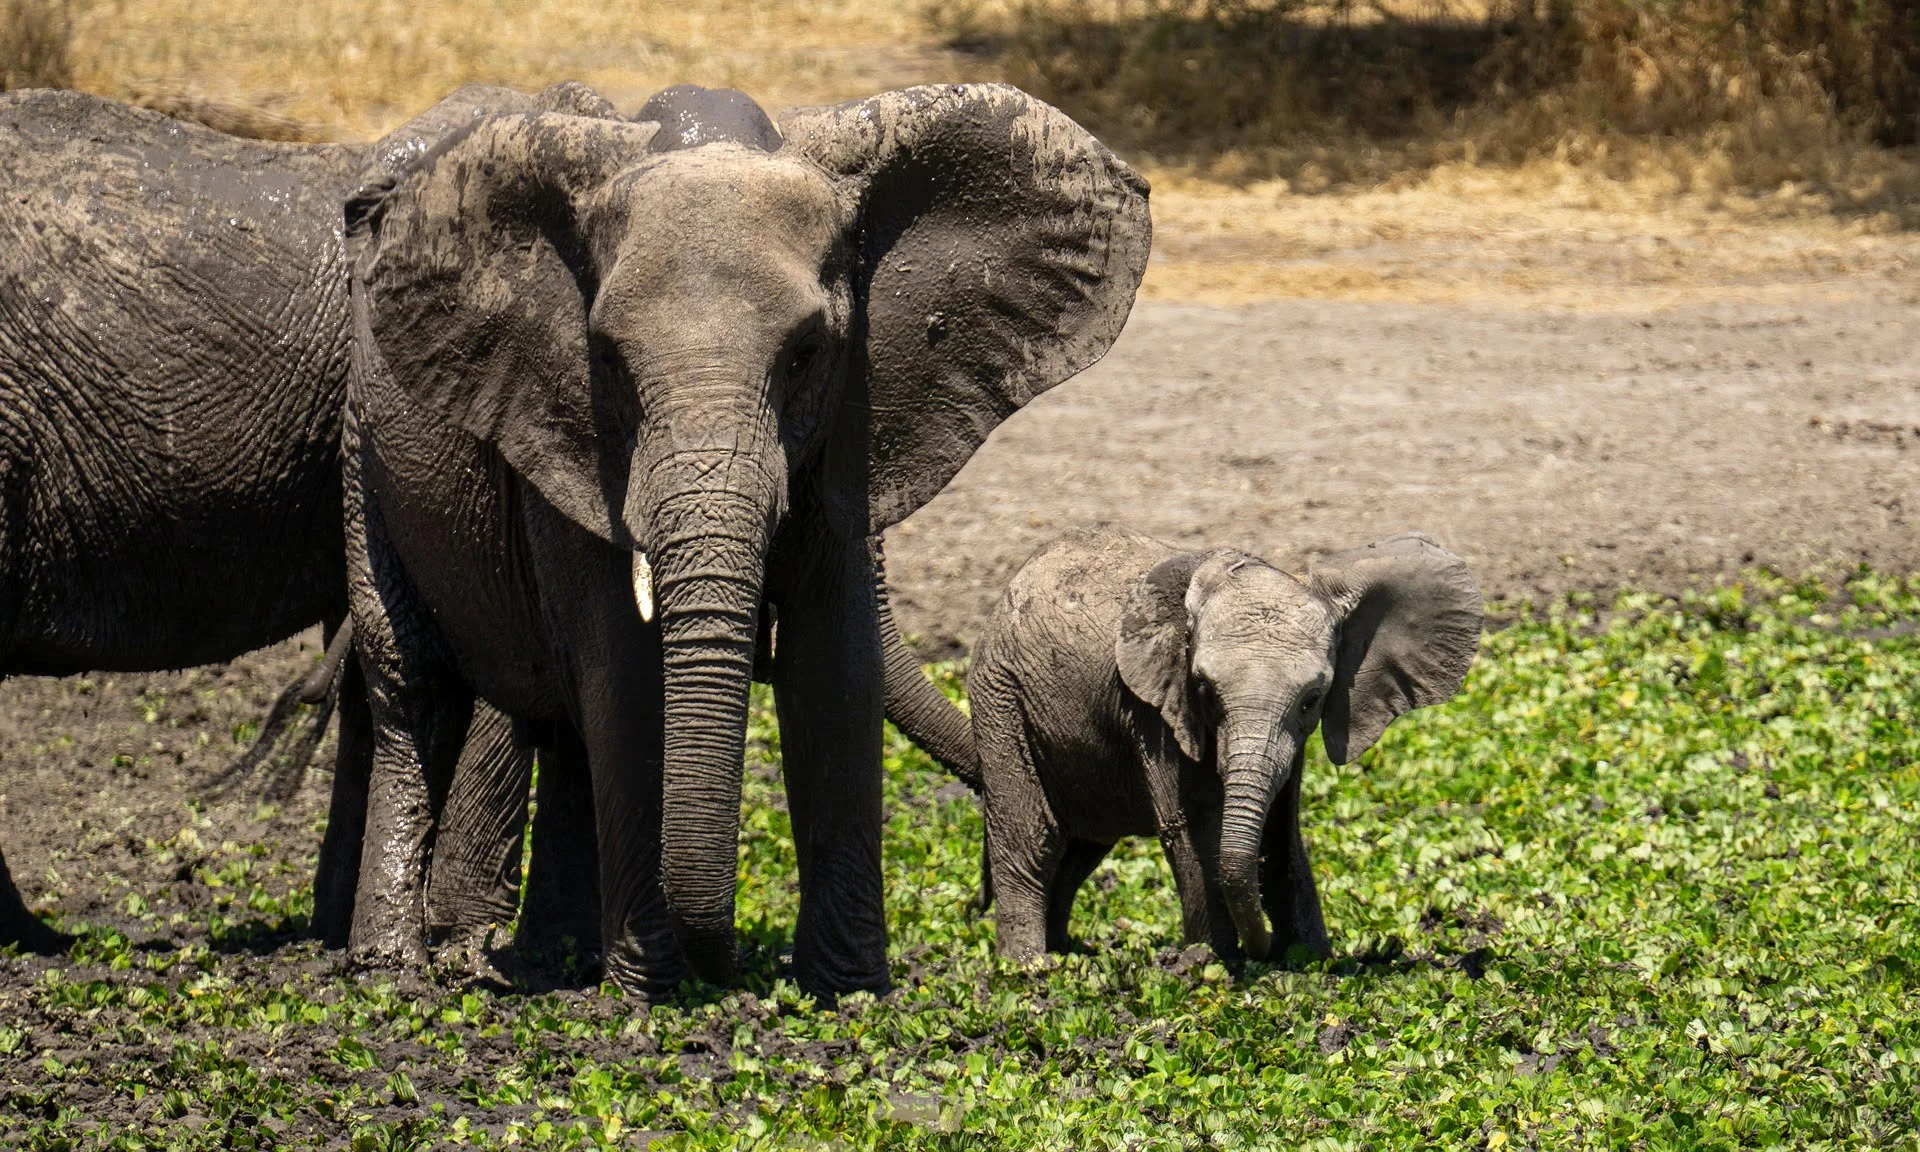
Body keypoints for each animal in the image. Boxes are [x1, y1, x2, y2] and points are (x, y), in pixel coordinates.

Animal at [345, 83, 1152, 998]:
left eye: (806, 353)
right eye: (607, 359)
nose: (728, 970)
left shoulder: (847, 416)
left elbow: (833, 667)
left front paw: (845, 993)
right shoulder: (565, 431)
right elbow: (626, 670)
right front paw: (651, 997)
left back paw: (557, 959)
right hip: (360, 453)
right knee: (414, 689)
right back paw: (397, 973)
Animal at [960, 529, 1482, 963]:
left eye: (1312, 699)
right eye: (1204, 690)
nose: (1262, 950)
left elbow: (1282, 831)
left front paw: (1310, 960)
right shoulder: (1155, 709)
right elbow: (1187, 826)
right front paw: (1212, 965)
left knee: (1083, 846)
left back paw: (1068, 953)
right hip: (998, 690)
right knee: (1034, 834)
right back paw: (1029, 970)